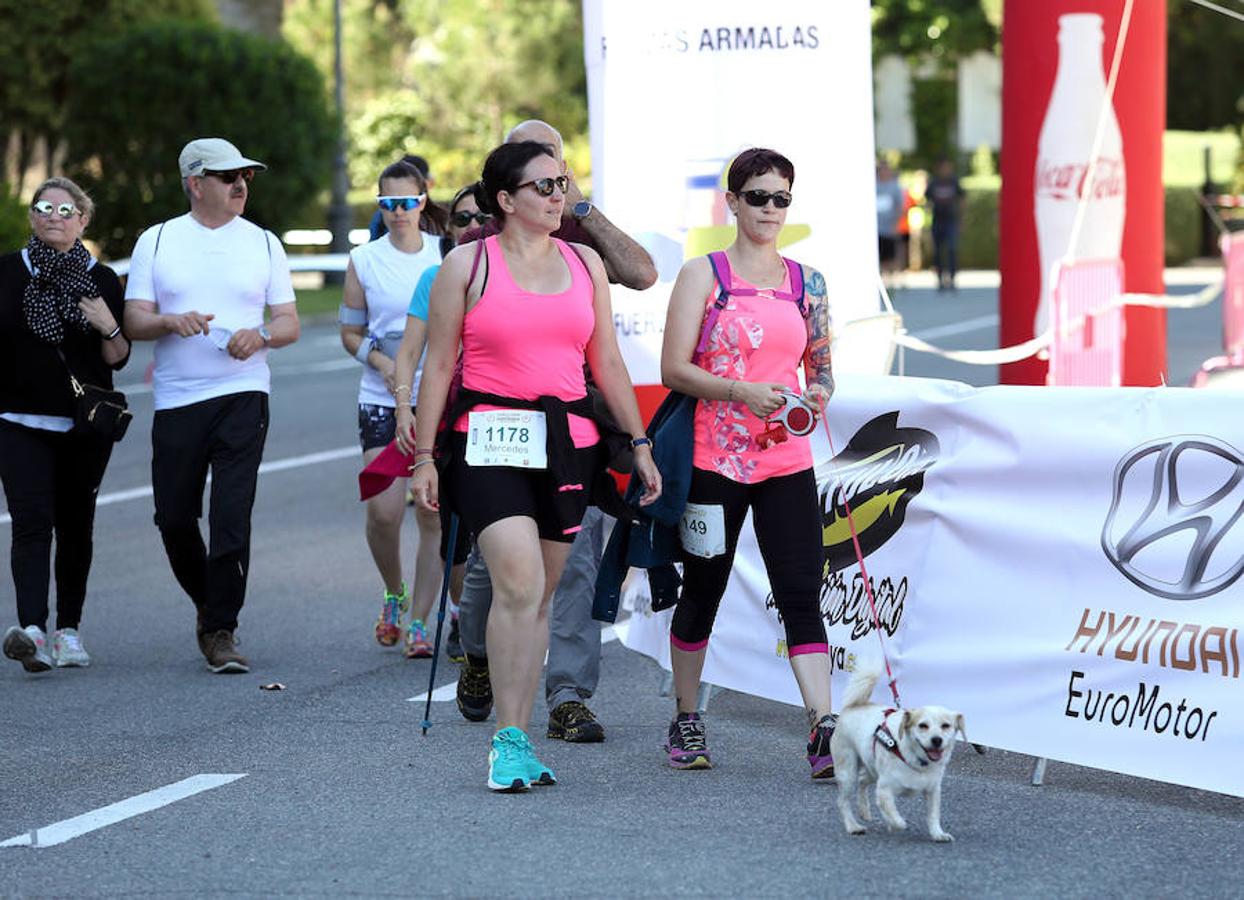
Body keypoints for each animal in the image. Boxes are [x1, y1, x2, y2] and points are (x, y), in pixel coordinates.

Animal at [830, 667, 965, 841]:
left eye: (946, 725)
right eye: (923, 725)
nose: (936, 740)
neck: (918, 762)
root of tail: (853, 706)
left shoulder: (933, 790)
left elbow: (933, 815)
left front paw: (938, 834)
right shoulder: (884, 789)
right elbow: (893, 815)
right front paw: (895, 824)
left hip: (872, 768)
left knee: (862, 781)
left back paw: (864, 811)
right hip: (848, 772)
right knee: (843, 801)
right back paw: (853, 826)